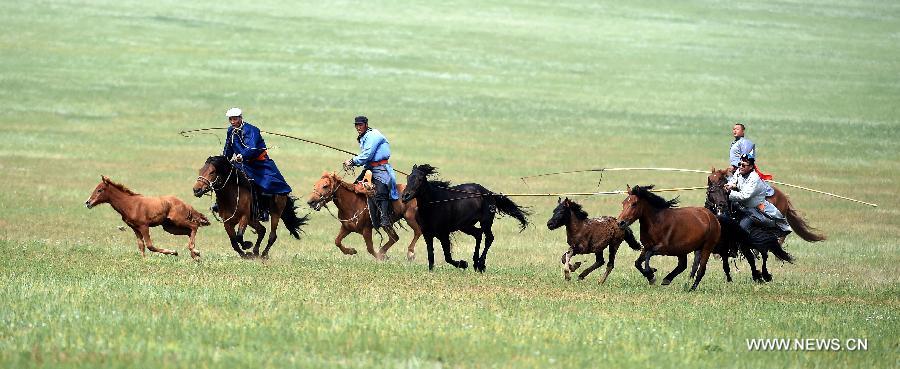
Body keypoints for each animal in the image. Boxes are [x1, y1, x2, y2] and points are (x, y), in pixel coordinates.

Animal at [400, 163, 528, 270]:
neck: (435, 203)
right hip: (465, 226)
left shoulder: (444, 233)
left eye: (420, 179)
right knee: (478, 234)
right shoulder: (427, 234)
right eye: (408, 178)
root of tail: (488, 192)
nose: (405, 196)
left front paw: (463, 264)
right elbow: (431, 256)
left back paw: (481, 264)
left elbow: (447, 256)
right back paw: (475, 263)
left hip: (486, 222)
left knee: (489, 238)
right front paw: (431, 271)